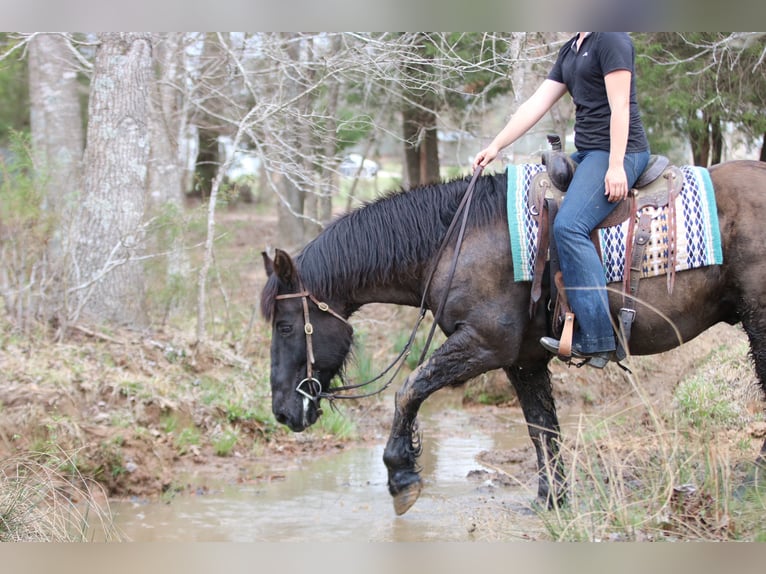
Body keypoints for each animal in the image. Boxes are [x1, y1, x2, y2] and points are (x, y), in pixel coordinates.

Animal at [260, 159, 766, 516]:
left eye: (284, 326)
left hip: (759, 321)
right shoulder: (522, 359)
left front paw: (402, 475)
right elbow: (541, 427)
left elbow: (408, 390)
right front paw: (551, 500)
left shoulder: (484, 344)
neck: (456, 241)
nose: (283, 412)